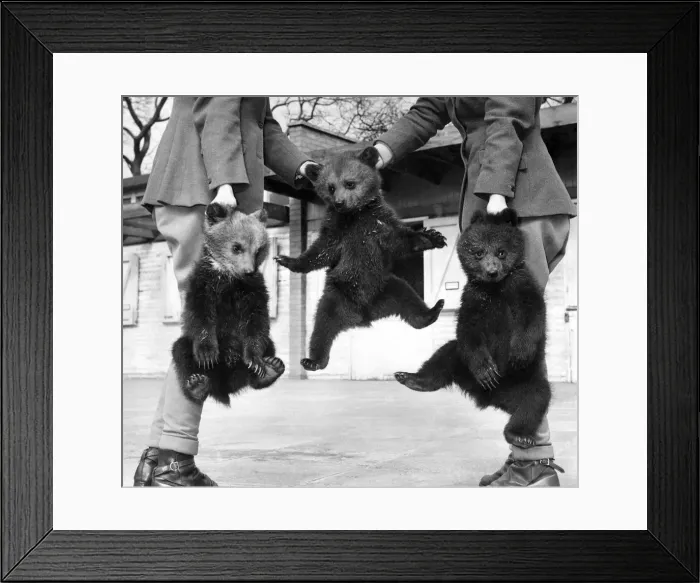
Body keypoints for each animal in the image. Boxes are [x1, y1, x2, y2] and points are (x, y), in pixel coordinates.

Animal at [171, 203, 285, 406]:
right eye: (236, 247)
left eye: (258, 249)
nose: (249, 271)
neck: (229, 279)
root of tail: (225, 386)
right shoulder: (204, 285)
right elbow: (199, 315)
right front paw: (207, 353)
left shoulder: (253, 291)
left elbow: (257, 321)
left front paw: (255, 361)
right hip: (191, 352)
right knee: (180, 351)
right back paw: (196, 385)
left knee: (267, 346)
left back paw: (270, 370)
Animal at [275, 146, 448, 372]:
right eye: (330, 187)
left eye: (350, 183)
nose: (339, 202)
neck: (356, 214)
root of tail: (363, 316)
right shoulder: (337, 229)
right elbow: (320, 251)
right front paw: (286, 259)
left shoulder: (379, 223)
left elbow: (400, 239)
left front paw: (432, 237)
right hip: (336, 296)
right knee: (322, 326)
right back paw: (313, 360)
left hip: (386, 287)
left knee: (408, 297)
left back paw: (432, 311)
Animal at [394, 208, 551, 449]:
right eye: (478, 252)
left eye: (501, 252)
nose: (492, 271)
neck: (494, 289)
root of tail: (489, 398)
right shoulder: (473, 298)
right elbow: (468, 328)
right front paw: (486, 370)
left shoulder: (520, 286)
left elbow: (532, 315)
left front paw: (519, 354)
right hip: (461, 361)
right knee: (443, 356)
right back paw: (412, 379)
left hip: (525, 382)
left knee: (535, 400)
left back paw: (519, 435)